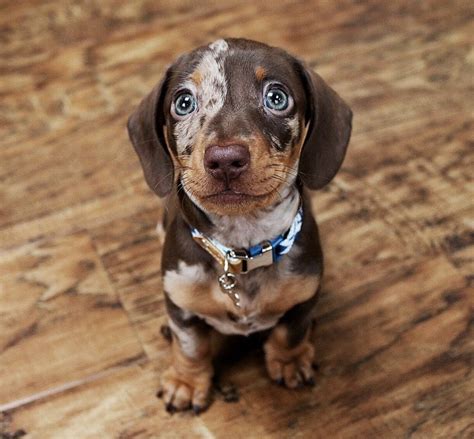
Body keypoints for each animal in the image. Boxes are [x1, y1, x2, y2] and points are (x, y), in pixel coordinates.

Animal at [127, 38, 352, 416]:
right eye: (183, 102)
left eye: (277, 97)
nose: (225, 159)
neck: (241, 248)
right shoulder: (181, 302)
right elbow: (190, 346)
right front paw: (187, 382)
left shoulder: (306, 294)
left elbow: (290, 332)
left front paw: (289, 360)